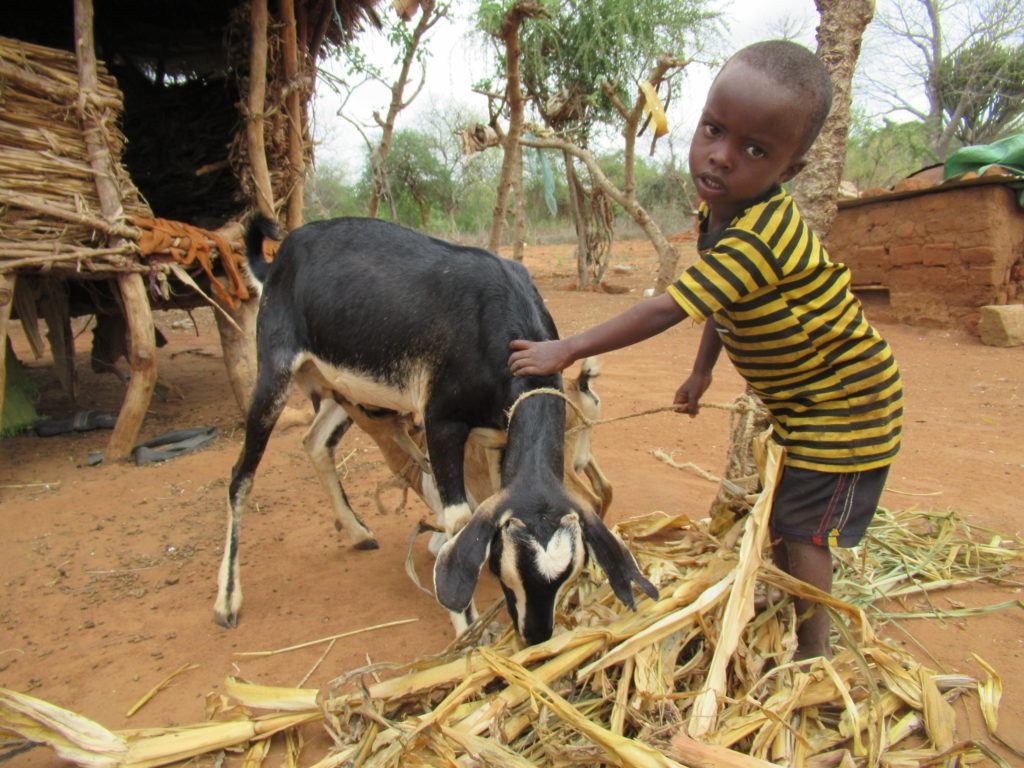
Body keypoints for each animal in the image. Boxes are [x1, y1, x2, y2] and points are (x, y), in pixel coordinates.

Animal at [215, 215, 655, 643]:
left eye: (567, 574)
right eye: (507, 569)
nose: (535, 636)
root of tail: (279, 259)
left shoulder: (500, 437)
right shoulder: (441, 423)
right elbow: (458, 520)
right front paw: (469, 628)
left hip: (342, 390)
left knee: (315, 441)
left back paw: (357, 532)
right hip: (275, 370)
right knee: (240, 477)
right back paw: (227, 601)